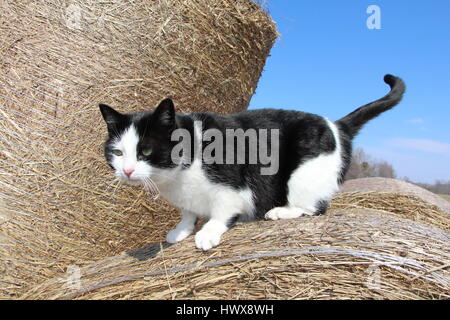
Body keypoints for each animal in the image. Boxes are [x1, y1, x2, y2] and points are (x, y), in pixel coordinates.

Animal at [100, 74, 406, 250]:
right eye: (117, 153)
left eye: (146, 150)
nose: (127, 171)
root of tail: (336, 124)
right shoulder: (186, 198)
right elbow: (187, 213)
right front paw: (182, 229)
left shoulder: (232, 186)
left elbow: (222, 210)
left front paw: (208, 232)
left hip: (303, 175)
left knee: (315, 208)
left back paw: (280, 212)